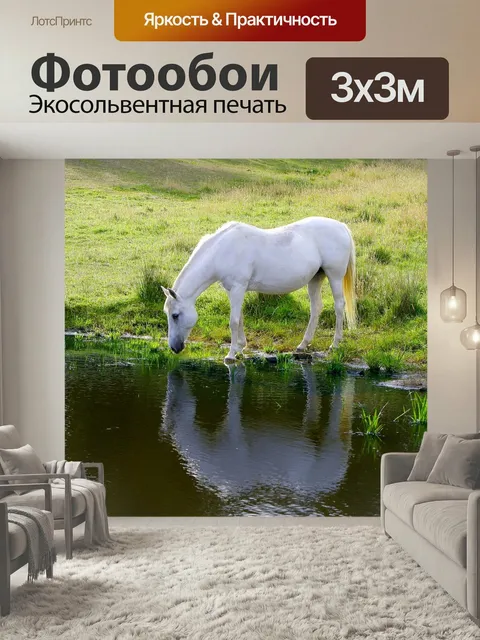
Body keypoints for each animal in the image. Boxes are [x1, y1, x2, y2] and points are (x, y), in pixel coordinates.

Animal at [162, 217, 356, 363]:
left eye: (175, 315)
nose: (174, 348)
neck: (222, 250)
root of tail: (341, 226)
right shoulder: (233, 290)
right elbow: (239, 318)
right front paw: (241, 347)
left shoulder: (238, 288)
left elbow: (233, 321)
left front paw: (231, 354)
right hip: (316, 278)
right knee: (316, 308)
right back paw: (302, 345)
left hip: (334, 276)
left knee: (339, 306)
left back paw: (335, 344)